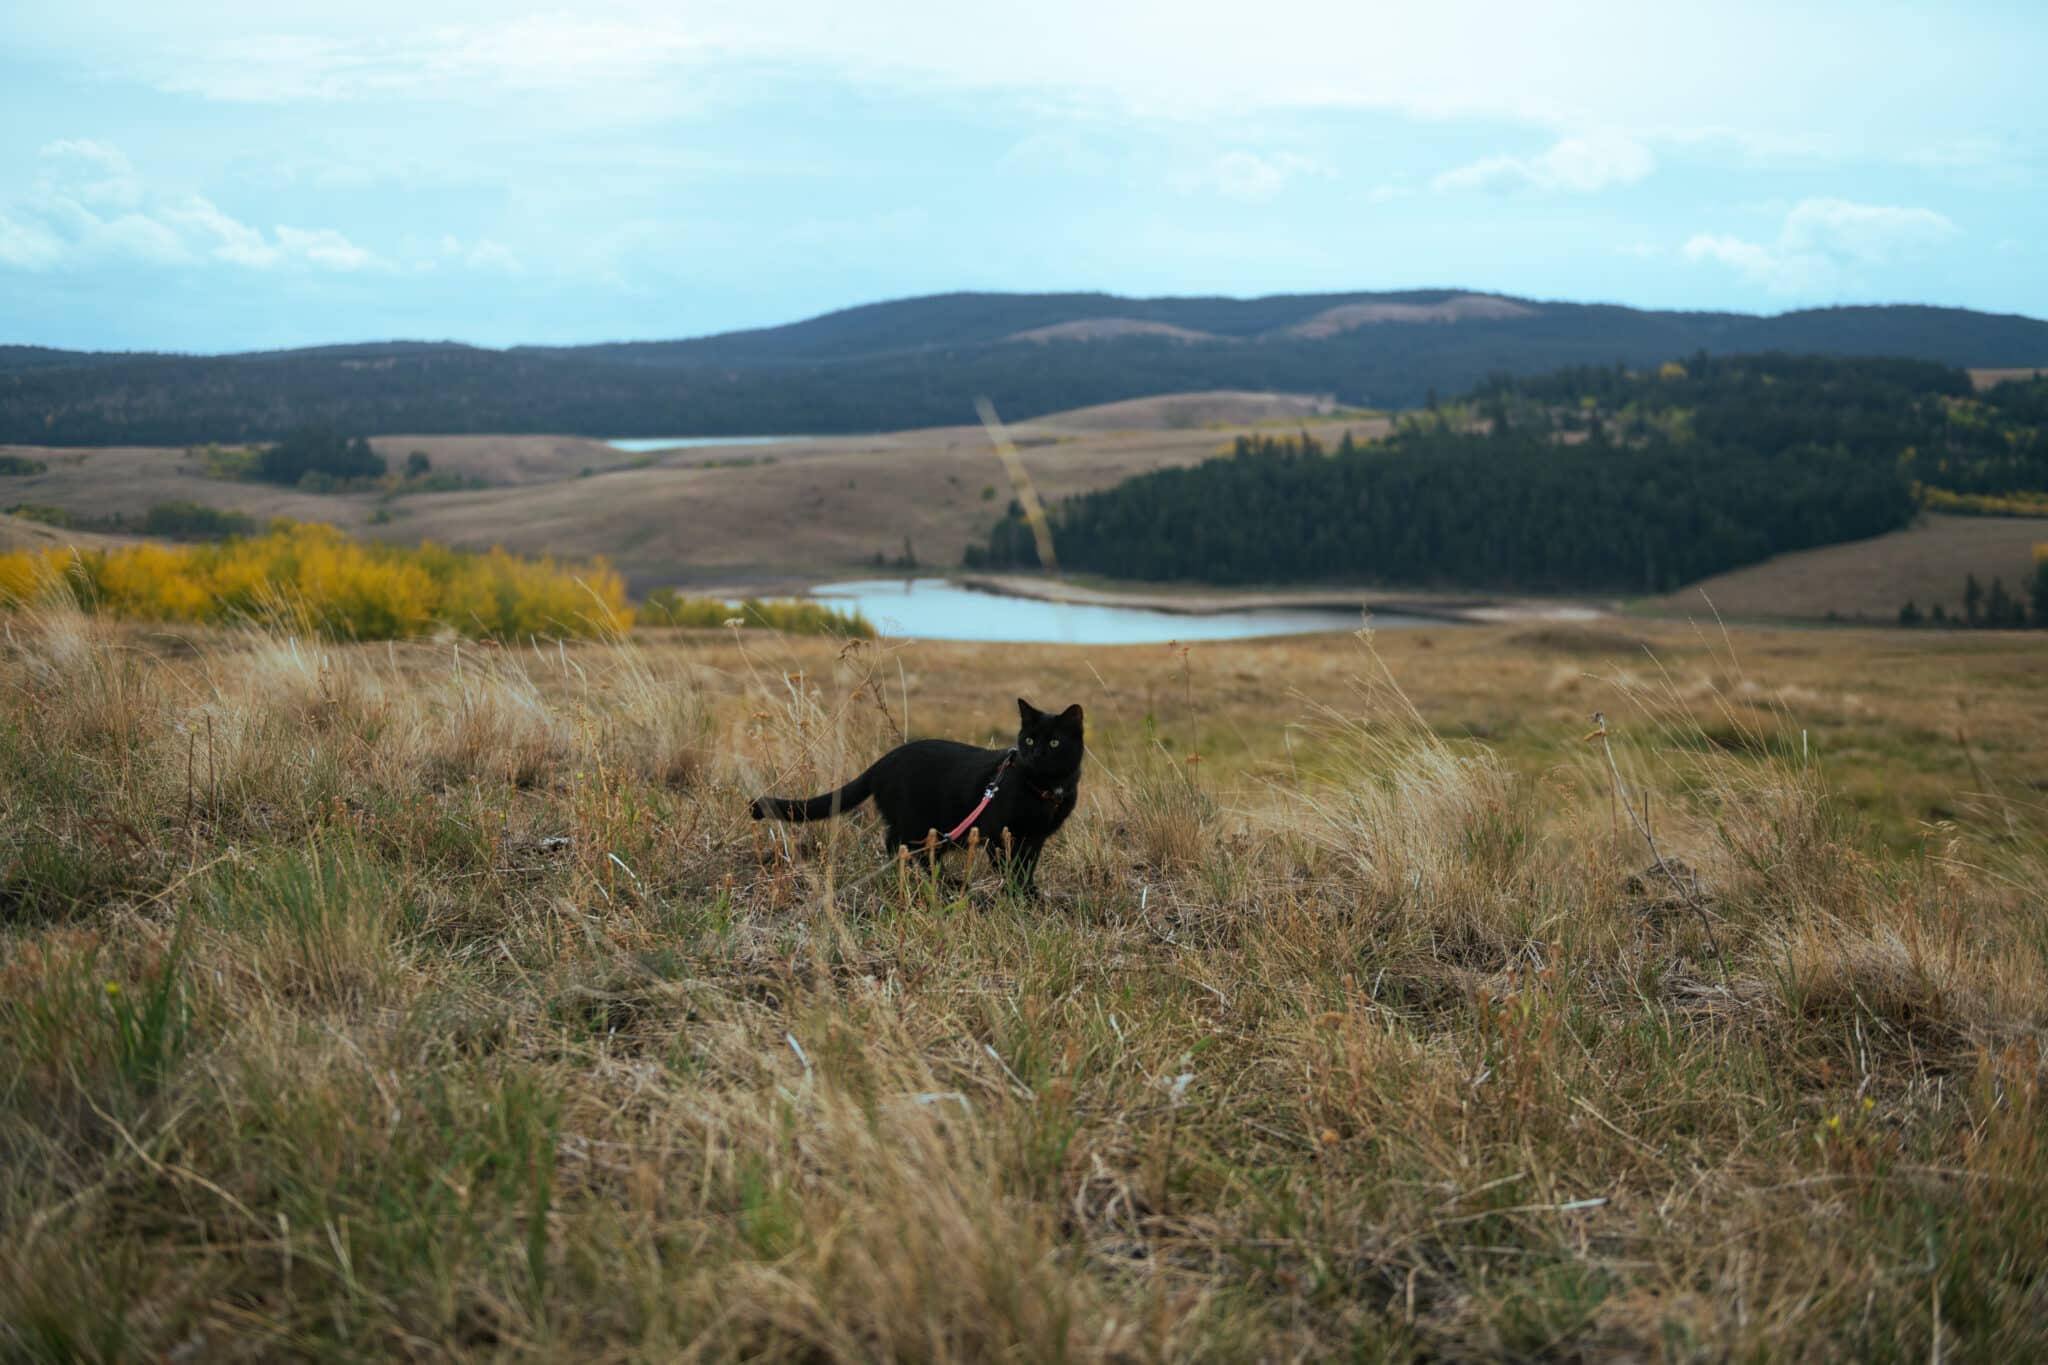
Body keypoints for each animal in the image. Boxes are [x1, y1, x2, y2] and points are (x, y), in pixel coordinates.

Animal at [745, 699, 1081, 892]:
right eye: (1028, 739)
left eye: (1053, 742)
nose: (1033, 754)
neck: (1043, 787)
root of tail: (883, 762)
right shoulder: (997, 832)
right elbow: (1008, 867)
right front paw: (1015, 894)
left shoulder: (1035, 838)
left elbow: (1028, 866)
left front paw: (1029, 893)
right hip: (922, 823)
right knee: (903, 846)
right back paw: (944, 882)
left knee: (898, 844)